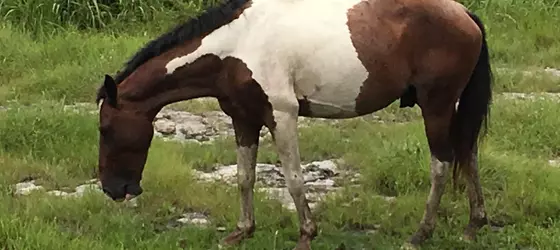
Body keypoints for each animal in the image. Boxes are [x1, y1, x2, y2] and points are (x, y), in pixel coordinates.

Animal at [94, 0, 492, 248]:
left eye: (104, 129)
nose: (113, 190)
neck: (236, 47)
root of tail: (464, 14)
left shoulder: (281, 115)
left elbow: (295, 179)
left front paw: (306, 234)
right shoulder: (243, 118)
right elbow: (245, 177)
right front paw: (242, 231)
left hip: (436, 105)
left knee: (442, 164)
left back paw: (420, 234)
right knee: (468, 153)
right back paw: (474, 225)